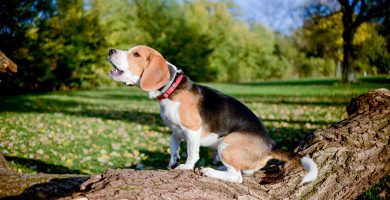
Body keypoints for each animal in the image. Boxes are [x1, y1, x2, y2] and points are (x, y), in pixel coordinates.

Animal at [106, 45, 316, 183]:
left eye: (136, 54)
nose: (110, 51)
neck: (171, 89)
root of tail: (270, 146)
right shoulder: (175, 130)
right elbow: (173, 146)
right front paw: (173, 161)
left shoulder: (191, 130)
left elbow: (192, 153)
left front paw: (186, 167)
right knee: (242, 171)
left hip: (226, 144)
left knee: (237, 177)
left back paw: (210, 172)